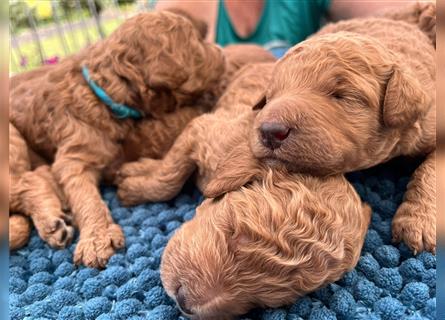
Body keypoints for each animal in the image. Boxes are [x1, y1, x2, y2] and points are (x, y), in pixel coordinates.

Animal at [9, 10, 225, 268]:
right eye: (198, 42)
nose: (222, 52)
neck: (103, 93)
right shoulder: (73, 155)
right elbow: (85, 196)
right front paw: (97, 238)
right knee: (29, 180)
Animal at [116, 62, 370, 318]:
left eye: (265, 298)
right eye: (234, 234)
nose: (183, 301)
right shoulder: (203, 130)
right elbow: (170, 177)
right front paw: (133, 183)